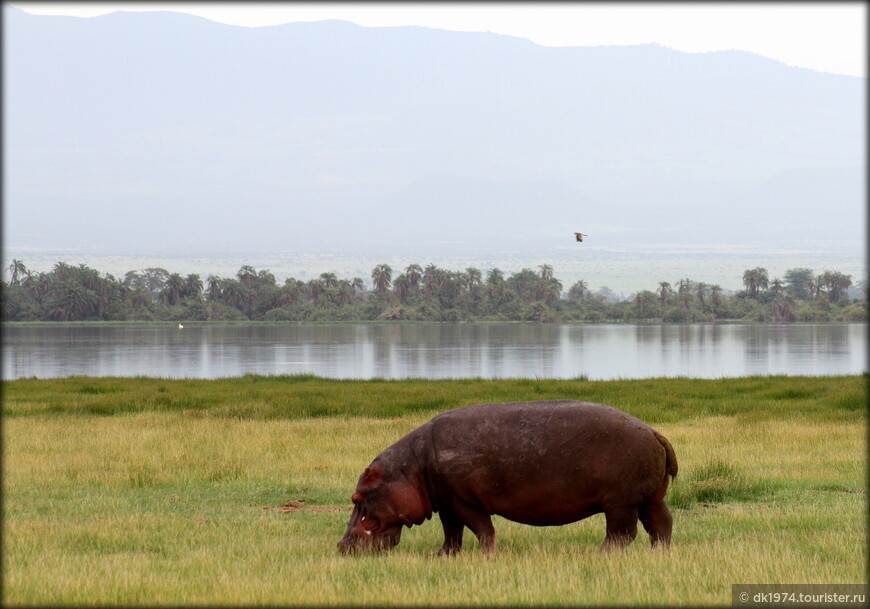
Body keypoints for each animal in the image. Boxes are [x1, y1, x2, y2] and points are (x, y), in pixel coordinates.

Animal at [338, 402, 676, 552]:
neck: (410, 469)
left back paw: (600, 553)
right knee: (661, 524)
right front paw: (443, 555)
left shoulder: (463, 501)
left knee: (622, 533)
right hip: (650, 498)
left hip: (620, 502)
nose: (341, 546)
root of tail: (653, 431)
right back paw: (660, 551)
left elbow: (481, 528)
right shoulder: (446, 503)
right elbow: (452, 532)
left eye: (356, 497)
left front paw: (486, 554)